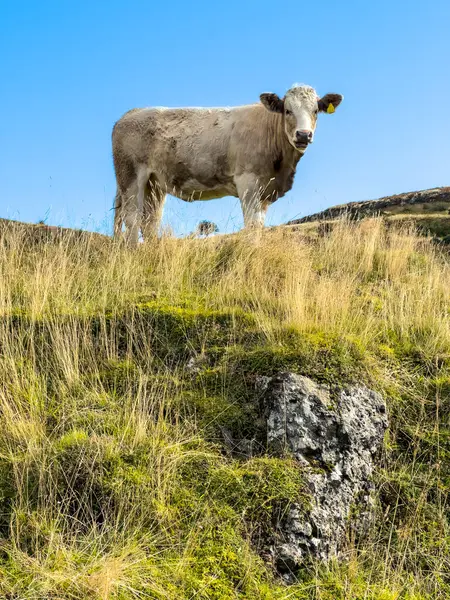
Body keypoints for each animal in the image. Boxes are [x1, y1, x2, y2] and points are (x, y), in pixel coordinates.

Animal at [111, 84, 342, 244]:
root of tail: (132, 113)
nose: (303, 135)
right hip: (130, 177)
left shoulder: (265, 191)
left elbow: (260, 225)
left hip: (155, 184)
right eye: (287, 111)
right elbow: (252, 225)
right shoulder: (248, 183)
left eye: (315, 111)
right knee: (132, 219)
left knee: (150, 222)